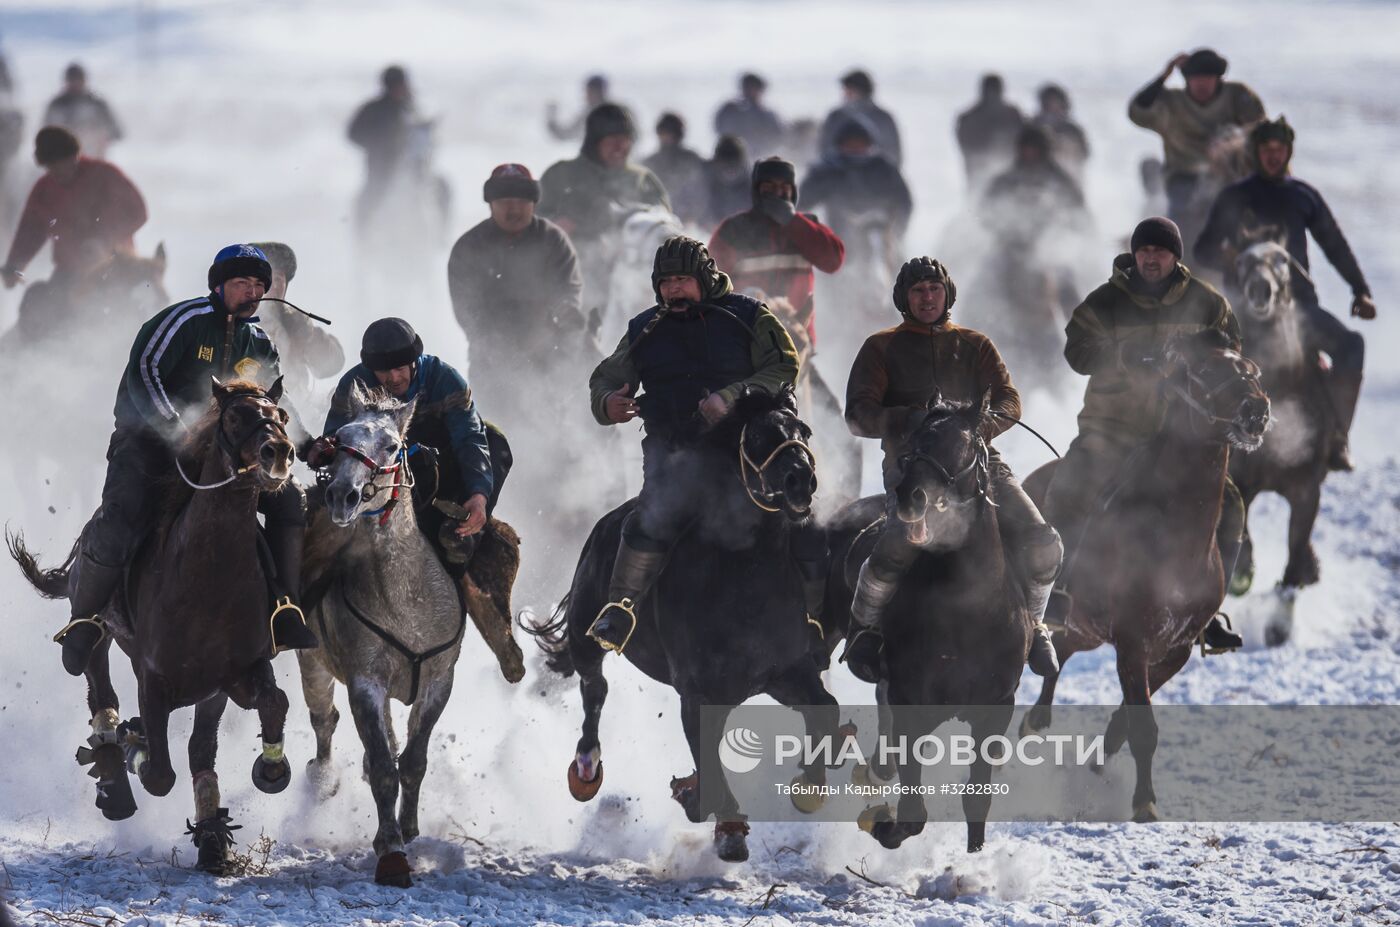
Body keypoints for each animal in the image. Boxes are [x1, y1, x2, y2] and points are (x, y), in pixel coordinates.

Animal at [8, 378, 298, 873]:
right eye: (235, 416)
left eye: (280, 415)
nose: (277, 452)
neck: (210, 576)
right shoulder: (153, 678)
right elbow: (159, 773)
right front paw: (133, 748)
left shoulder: (232, 677)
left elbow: (265, 706)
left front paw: (268, 772)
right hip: (99, 636)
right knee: (99, 690)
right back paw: (114, 770)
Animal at [298, 380, 467, 890]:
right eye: (339, 439)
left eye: (392, 446)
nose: (342, 496)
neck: (404, 601)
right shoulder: (365, 683)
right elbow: (383, 767)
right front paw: (390, 849)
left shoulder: (439, 680)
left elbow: (411, 760)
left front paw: (408, 829)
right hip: (313, 665)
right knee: (325, 722)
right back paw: (322, 778)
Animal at [526, 383, 840, 862]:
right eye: (757, 437)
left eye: (802, 430)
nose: (801, 479)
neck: (745, 577)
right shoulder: (697, 691)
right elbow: (708, 755)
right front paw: (723, 826)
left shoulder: (785, 673)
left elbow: (825, 709)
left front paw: (809, 786)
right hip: (586, 632)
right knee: (594, 687)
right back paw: (585, 769)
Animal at [823, 394, 1036, 851]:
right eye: (915, 441)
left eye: (964, 446)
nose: (910, 497)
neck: (969, 613)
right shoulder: (911, 705)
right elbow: (912, 811)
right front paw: (882, 823)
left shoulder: (996, 709)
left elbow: (977, 798)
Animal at [1019, 334, 1271, 823]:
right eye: (1206, 372)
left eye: (1253, 370)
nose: (1257, 409)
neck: (1175, 538)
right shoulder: (1133, 643)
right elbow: (1144, 725)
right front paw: (1143, 803)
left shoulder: (1176, 648)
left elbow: (1129, 717)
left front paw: (1102, 761)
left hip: (1085, 632)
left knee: (1059, 655)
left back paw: (1034, 722)